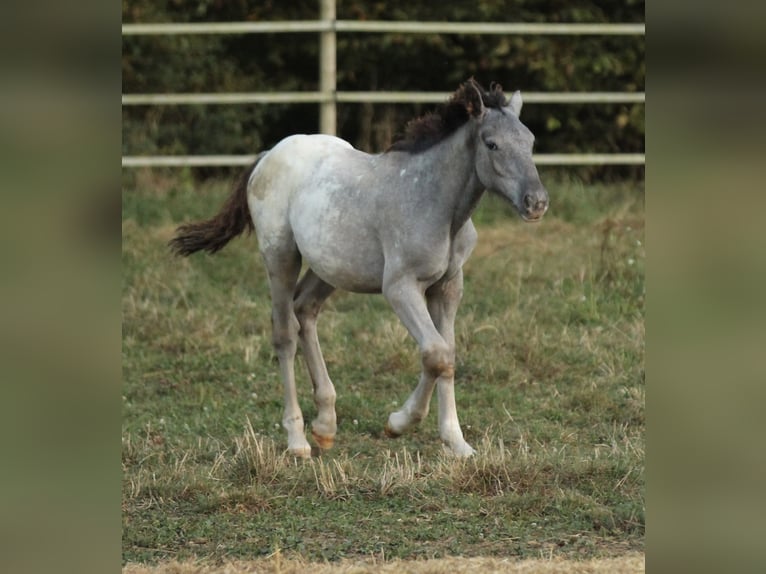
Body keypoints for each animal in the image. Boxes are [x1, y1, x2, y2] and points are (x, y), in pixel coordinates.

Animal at [171, 80, 548, 460]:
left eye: (530, 141)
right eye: (492, 144)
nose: (536, 203)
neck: (434, 202)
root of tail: (268, 155)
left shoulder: (448, 286)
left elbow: (447, 354)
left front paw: (457, 443)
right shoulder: (399, 287)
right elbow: (436, 354)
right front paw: (398, 423)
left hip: (331, 266)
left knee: (305, 309)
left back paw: (325, 424)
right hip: (281, 256)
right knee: (284, 331)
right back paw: (298, 439)